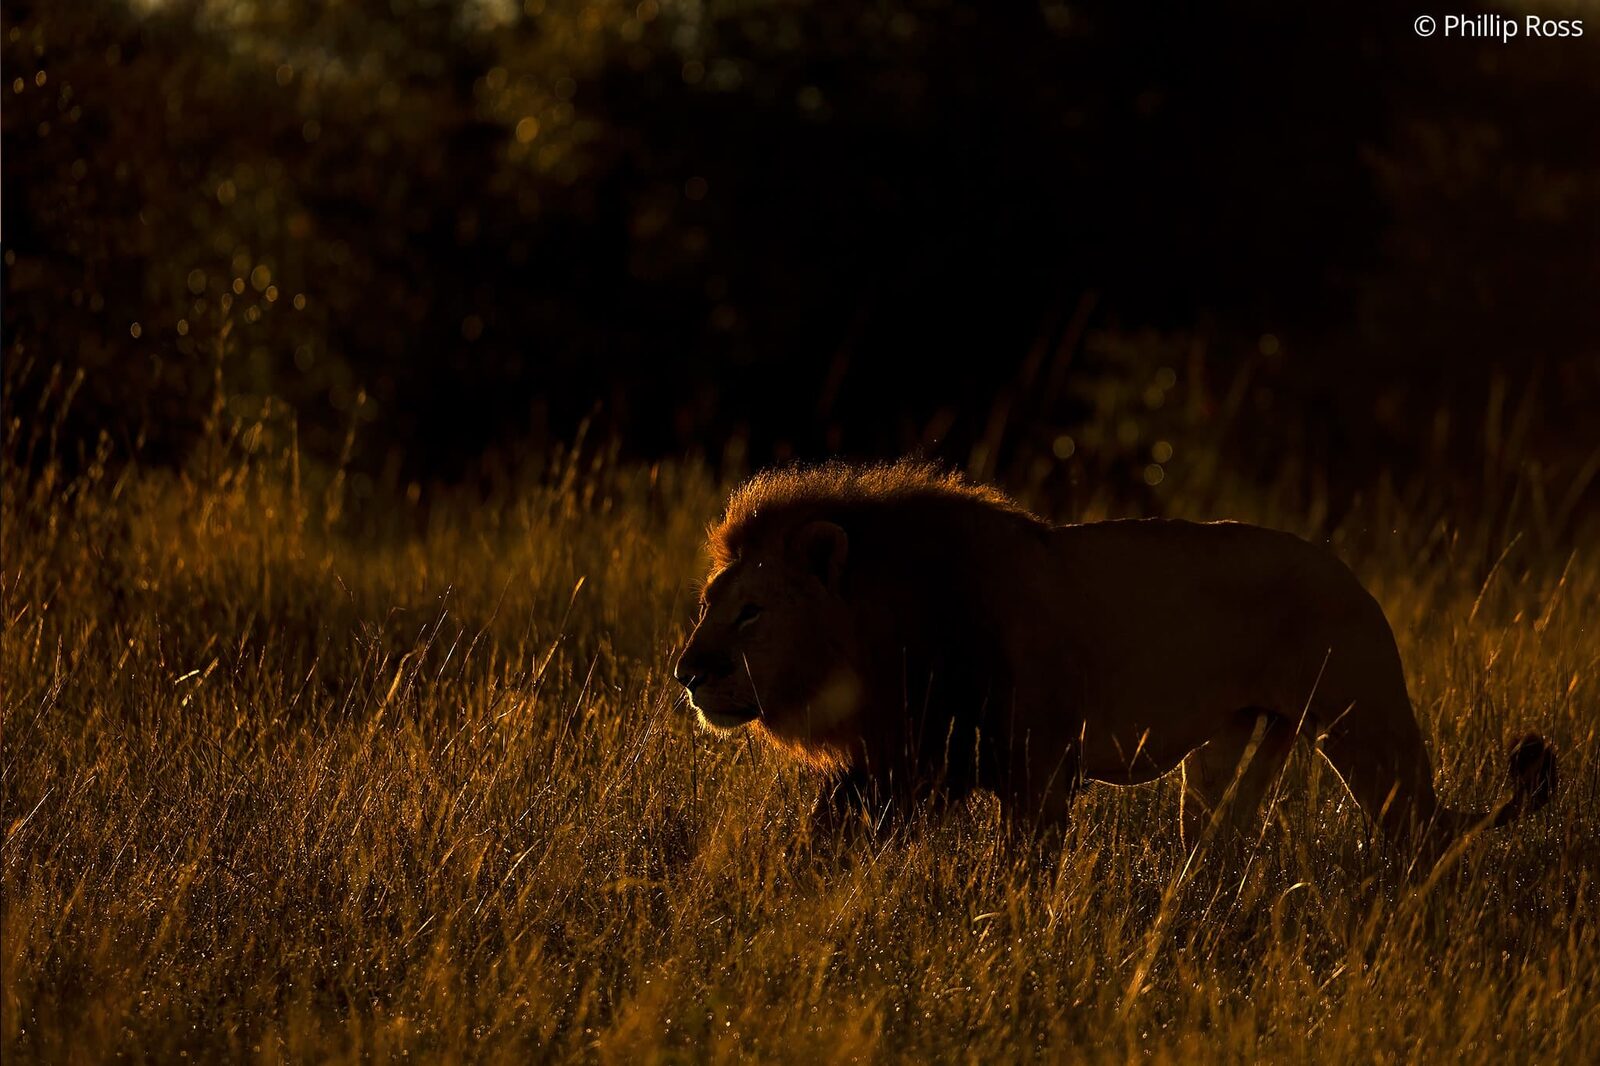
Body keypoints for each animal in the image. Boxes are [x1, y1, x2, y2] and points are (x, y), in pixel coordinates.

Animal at [674, 460, 1556, 862]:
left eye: (750, 612)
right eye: (708, 603)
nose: (687, 672)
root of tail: (1355, 576)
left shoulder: (1037, 763)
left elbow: (1023, 868)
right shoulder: (903, 759)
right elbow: (825, 834)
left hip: (1363, 724)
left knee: (1425, 835)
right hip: (1226, 758)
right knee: (1216, 848)